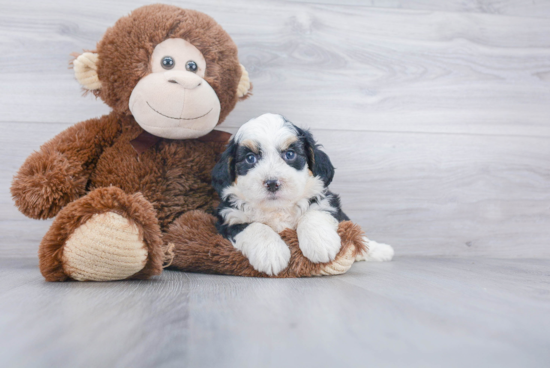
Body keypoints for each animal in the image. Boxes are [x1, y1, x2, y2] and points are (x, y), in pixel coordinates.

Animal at [212, 113, 396, 274]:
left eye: (290, 154)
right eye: (250, 158)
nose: (272, 183)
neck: (277, 209)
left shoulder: (326, 200)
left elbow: (314, 213)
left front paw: (320, 244)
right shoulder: (229, 218)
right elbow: (255, 226)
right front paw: (271, 253)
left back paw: (381, 250)